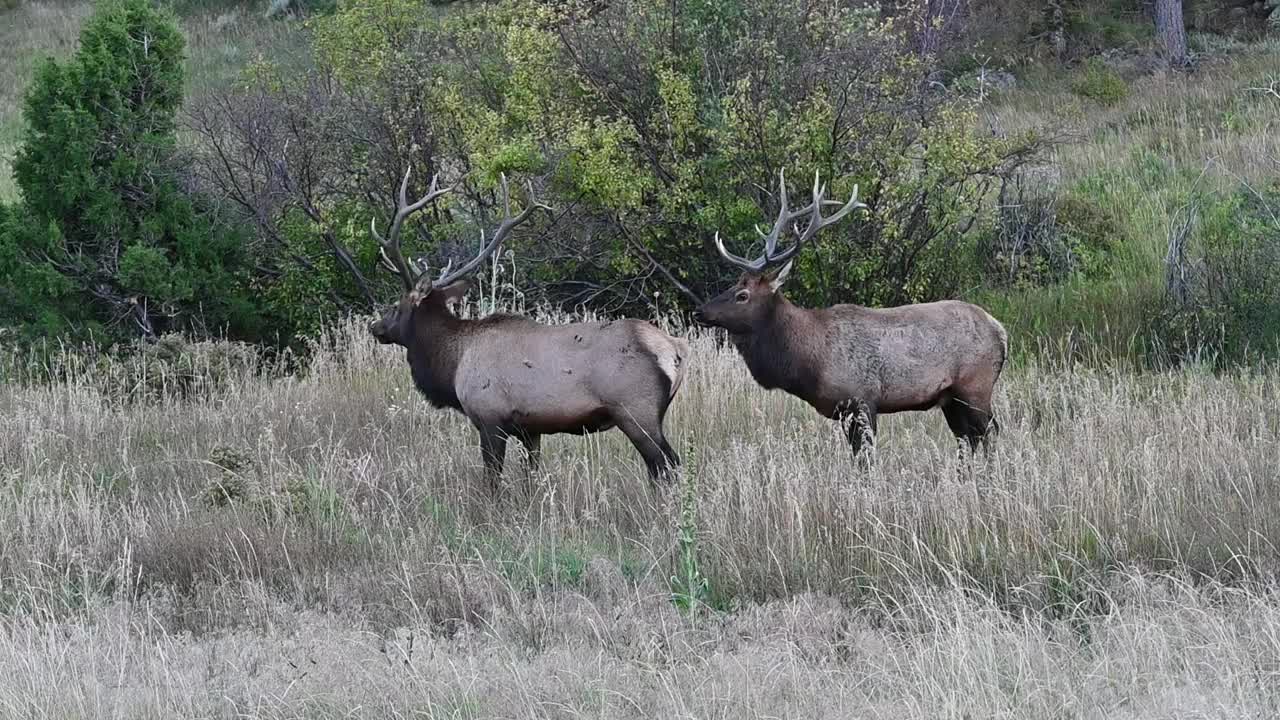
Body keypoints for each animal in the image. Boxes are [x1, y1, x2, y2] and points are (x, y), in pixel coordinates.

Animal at [368, 169, 691, 486]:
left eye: (396, 306)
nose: (375, 326)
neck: (453, 363)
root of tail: (675, 350)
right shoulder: (530, 429)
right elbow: (530, 478)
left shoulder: (489, 418)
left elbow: (492, 481)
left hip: (635, 411)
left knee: (667, 465)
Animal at [691, 169, 1008, 453]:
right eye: (732, 286)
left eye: (742, 295)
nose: (699, 312)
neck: (810, 358)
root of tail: (1001, 331)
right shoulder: (845, 410)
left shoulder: (861, 400)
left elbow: (864, 458)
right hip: (951, 398)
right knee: (968, 439)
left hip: (975, 386)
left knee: (990, 432)